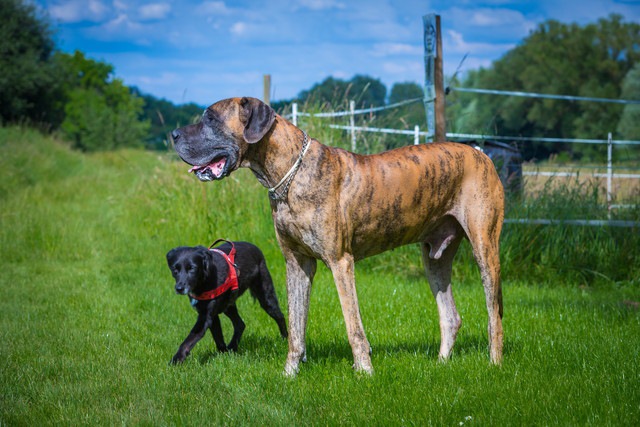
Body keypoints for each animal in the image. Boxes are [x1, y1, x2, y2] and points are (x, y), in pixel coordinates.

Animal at [171, 98, 504, 378]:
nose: (173, 134)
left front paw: (365, 372)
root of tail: (481, 153)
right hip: (434, 258)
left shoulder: (340, 262)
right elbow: (296, 326)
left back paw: (495, 364)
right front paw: (289, 373)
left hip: (486, 248)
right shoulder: (297, 264)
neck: (290, 174)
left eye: (211, 118)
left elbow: (353, 325)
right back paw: (441, 363)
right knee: (450, 316)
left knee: (494, 314)